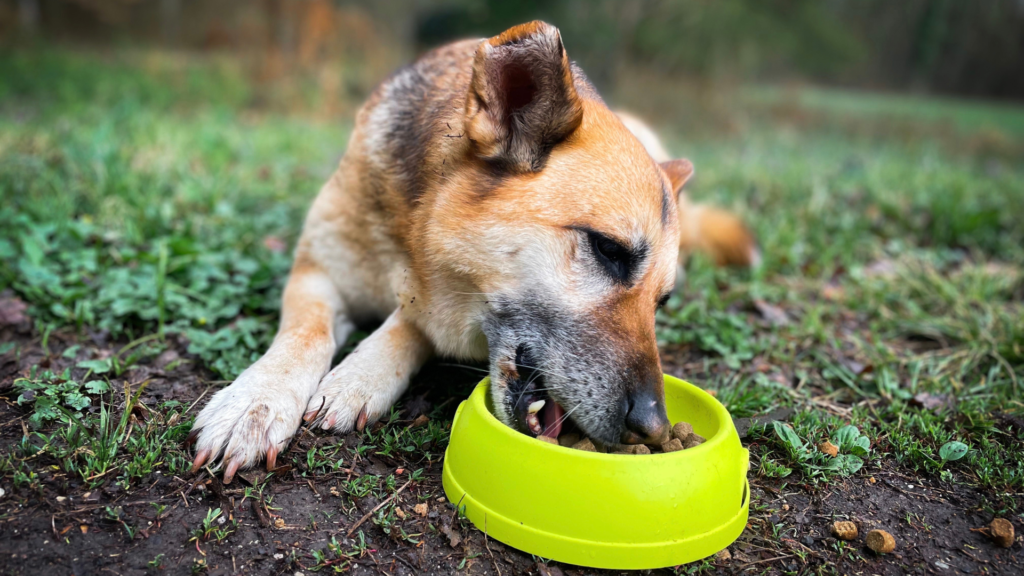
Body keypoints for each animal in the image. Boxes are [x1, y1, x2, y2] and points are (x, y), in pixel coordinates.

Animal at [188, 21, 757, 479]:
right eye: (609, 250)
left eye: (662, 303)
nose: (652, 427)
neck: (408, 232)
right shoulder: (317, 271)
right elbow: (304, 333)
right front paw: (256, 402)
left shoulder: (423, 301)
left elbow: (408, 323)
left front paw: (359, 375)